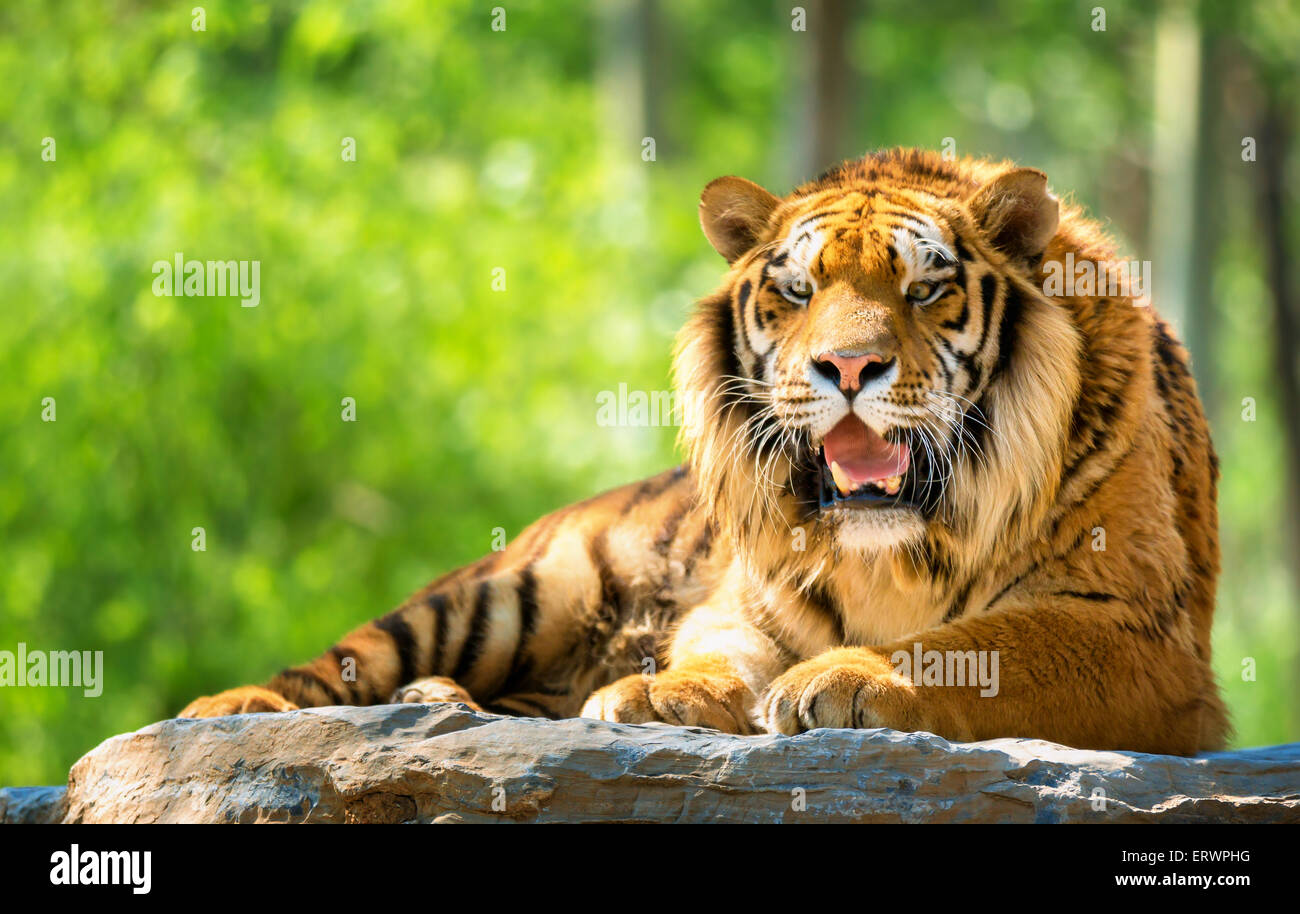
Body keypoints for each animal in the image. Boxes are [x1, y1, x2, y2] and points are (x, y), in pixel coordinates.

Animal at [183, 146, 1227, 754]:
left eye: (925, 290)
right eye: (799, 291)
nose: (851, 365)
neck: (897, 545)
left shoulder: (1136, 631)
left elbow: (974, 645)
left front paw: (846, 680)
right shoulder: (747, 600)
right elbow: (718, 651)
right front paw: (660, 695)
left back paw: (445, 703)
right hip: (510, 592)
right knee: (343, 662)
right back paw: (233, 712)